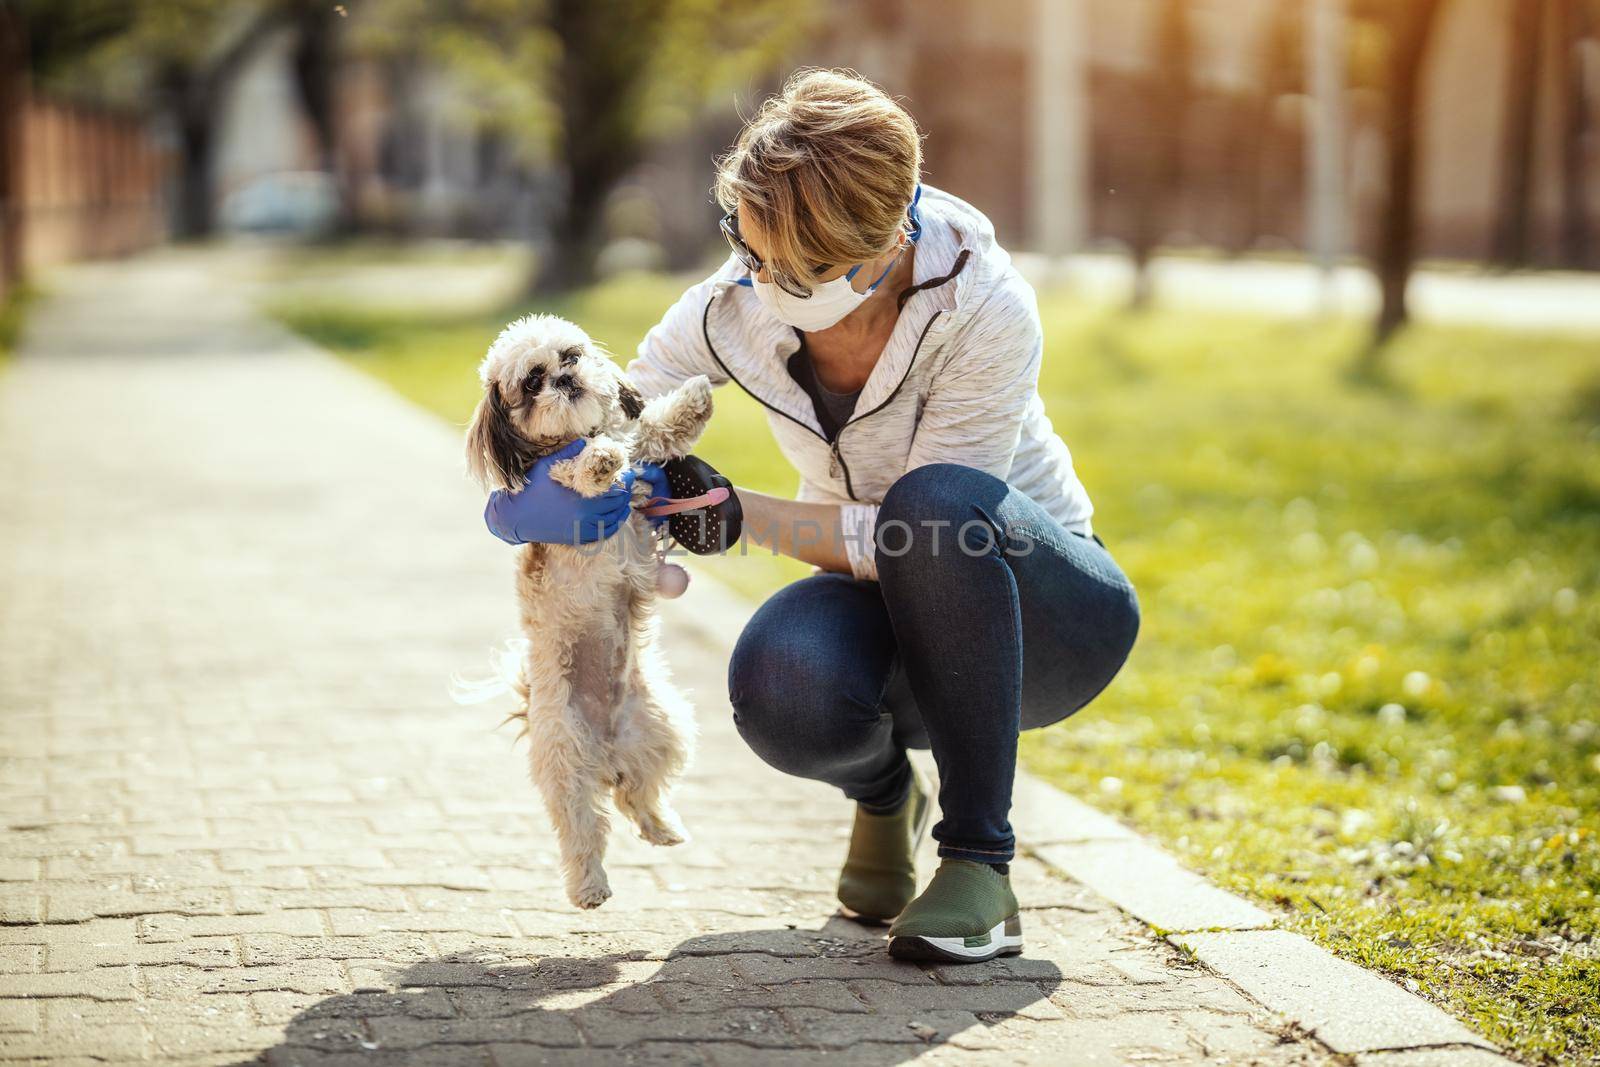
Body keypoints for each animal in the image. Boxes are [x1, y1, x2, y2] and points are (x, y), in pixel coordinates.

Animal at [464, 315, 713, 908]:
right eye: (532, 381)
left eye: (571, 355)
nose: (564, 379)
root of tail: (607, 748)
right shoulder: (554, 477)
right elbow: (575, 470)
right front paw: (597, 461)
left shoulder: (640, 449)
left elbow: (651, 431)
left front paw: (692, 401)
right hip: (566, 758)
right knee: (584, 827)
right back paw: (589, 886)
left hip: (662, 728)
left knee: (636, 795)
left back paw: (663, 828)